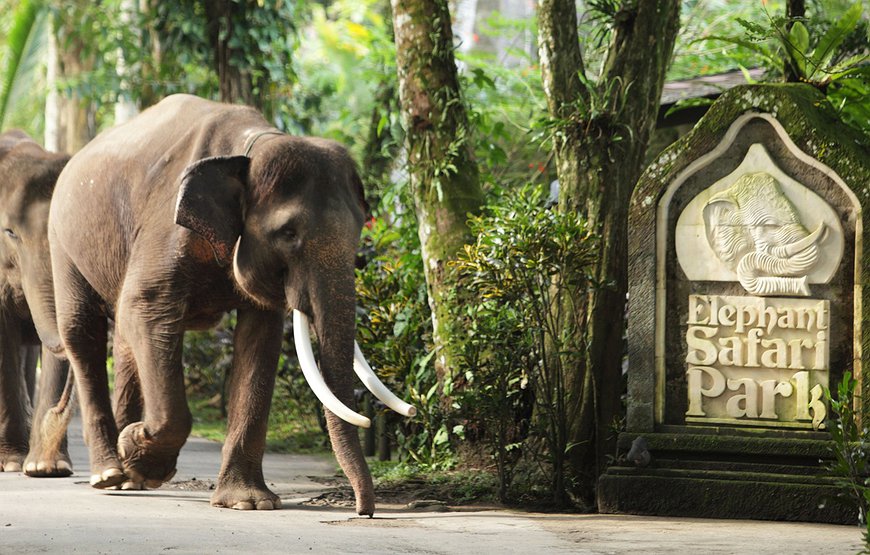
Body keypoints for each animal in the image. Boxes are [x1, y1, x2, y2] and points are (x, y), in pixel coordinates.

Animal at [46, 93, 416, 516]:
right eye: (289, 233)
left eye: (359, 231)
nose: (363, 509)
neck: (251, 147)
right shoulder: (164, 227)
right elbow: (146, 308)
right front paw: (140, 453)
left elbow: (260, 336)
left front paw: (247, 503)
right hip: (62, 240)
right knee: (84, 333)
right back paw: (109, 473)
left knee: (123, 341)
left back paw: (127, 478)